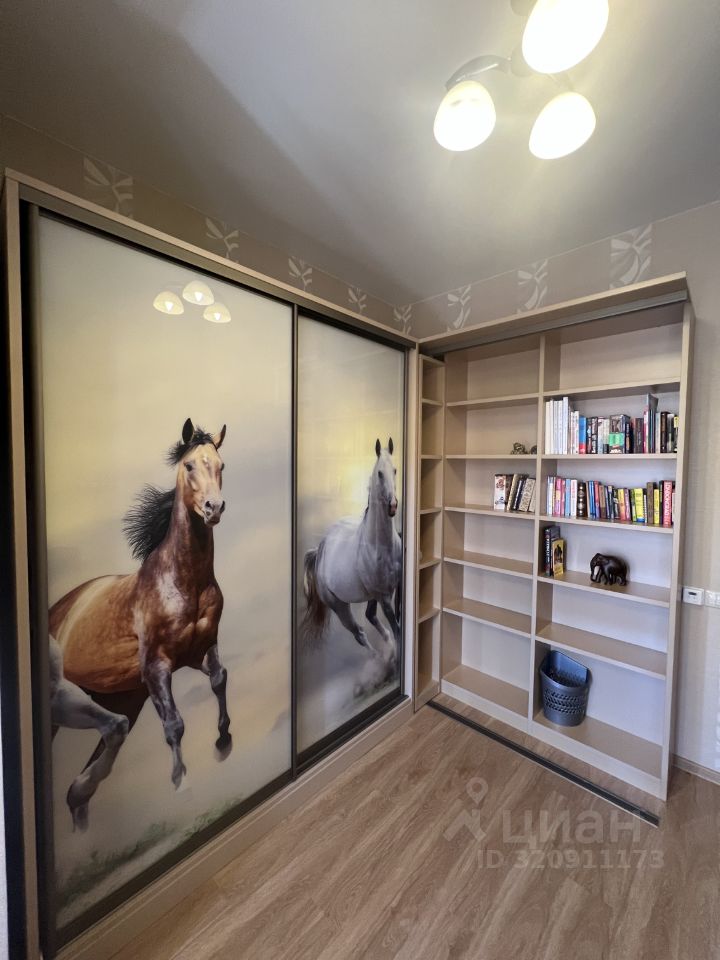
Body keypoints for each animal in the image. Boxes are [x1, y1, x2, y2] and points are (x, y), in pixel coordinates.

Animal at [49, 418, 230, 830]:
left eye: (221, 465)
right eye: (190, 465)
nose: (213, 507)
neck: (183, 581)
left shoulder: (201, 649)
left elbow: (219, 679)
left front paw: (223, 740)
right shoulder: (156, 666)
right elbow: (175, 724)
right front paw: (181, 783)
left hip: (121, 698)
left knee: (90, 769)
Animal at [302, 438, 402, 659]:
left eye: (395, 470)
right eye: (379, 473)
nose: (392, 506)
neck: (380, 546)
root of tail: (320, 551)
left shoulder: (396, 587)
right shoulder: (384, 597)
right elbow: (398, 629)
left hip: (369, 597)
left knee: (370, 617)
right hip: (340, 607)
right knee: (360, 633)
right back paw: (379, 659)